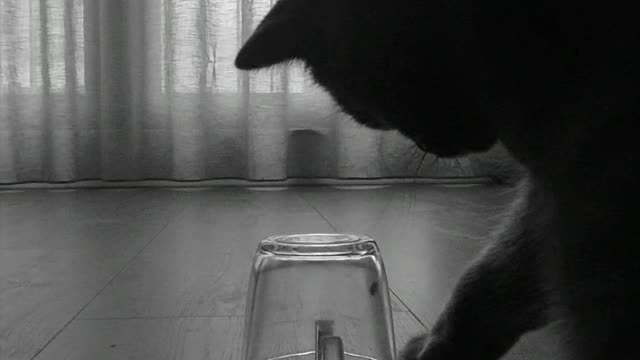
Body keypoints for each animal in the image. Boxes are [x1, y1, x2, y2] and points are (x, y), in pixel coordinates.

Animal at [235, 1, 640, 358]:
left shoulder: (588, 186)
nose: (430, 145)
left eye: (377, 112)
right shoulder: (555, 196)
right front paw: (441, 345)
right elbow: (488, 285)